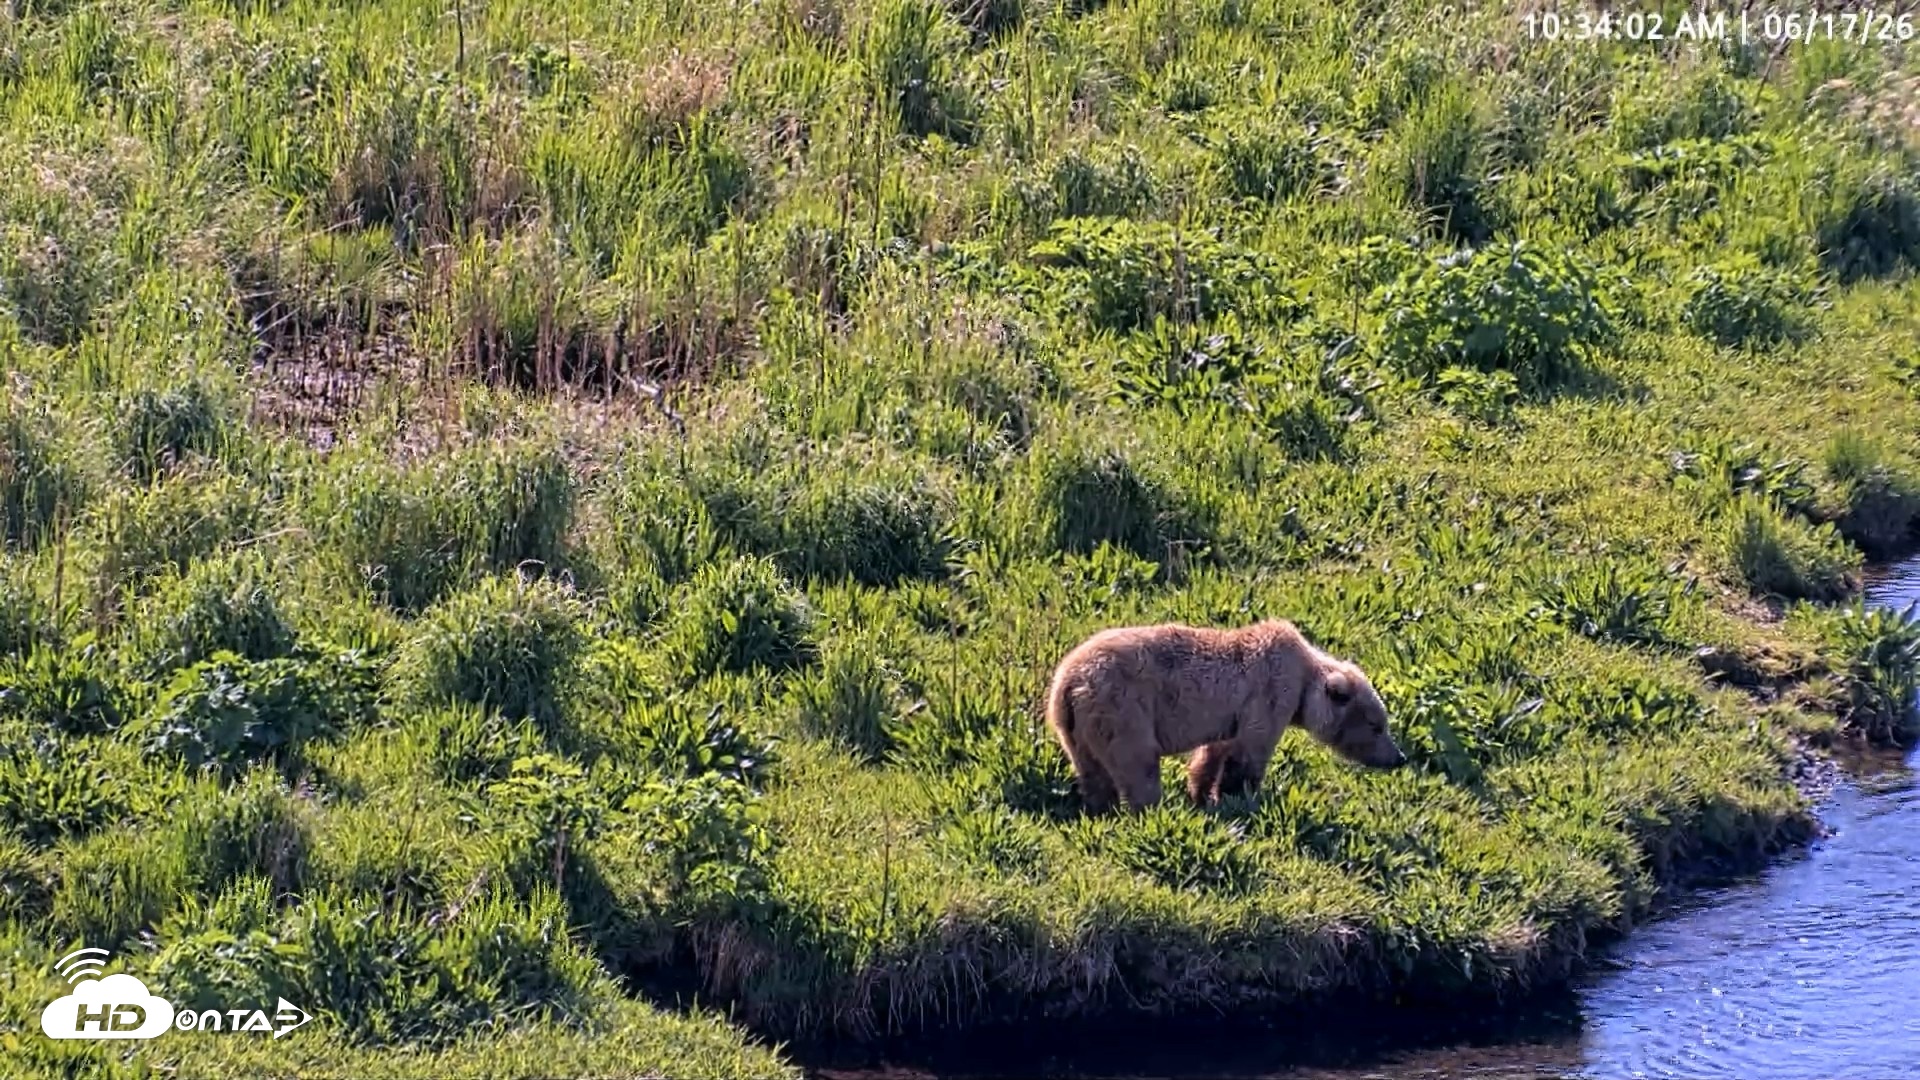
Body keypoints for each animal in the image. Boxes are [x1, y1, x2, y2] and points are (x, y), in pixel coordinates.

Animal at [1044, 619, 1405, 814]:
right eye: (1377, 726)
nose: (1398, 757)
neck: (1304, 684)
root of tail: (1068, 680)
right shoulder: (1269, 693)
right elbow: (1250, 753)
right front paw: (1239, 797)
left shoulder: (1230, 716)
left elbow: (1213, 753)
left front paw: (1202, 794)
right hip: (1122, 709)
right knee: (1138, 764)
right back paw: (1146, 809)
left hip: (1075, 727)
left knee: (1092, 771)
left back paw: (1100, 808)